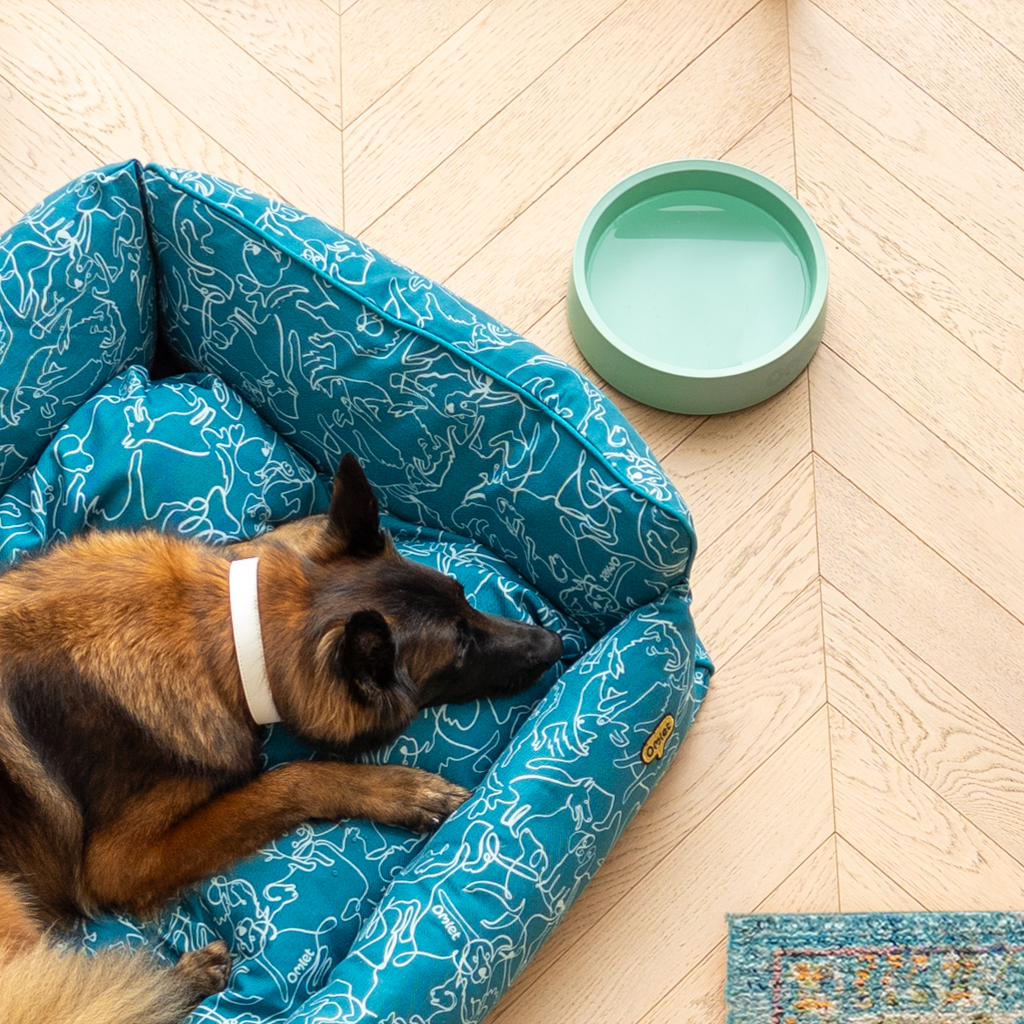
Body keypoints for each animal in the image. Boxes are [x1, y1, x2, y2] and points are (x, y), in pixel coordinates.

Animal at [0, 454, 561, 1024]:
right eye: (460, 653)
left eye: (464, 595)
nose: (556, 642)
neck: (228, 633)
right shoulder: (119, 864)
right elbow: (288, 780)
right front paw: (398, 790)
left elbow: (258, 551)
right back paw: (177, 981)